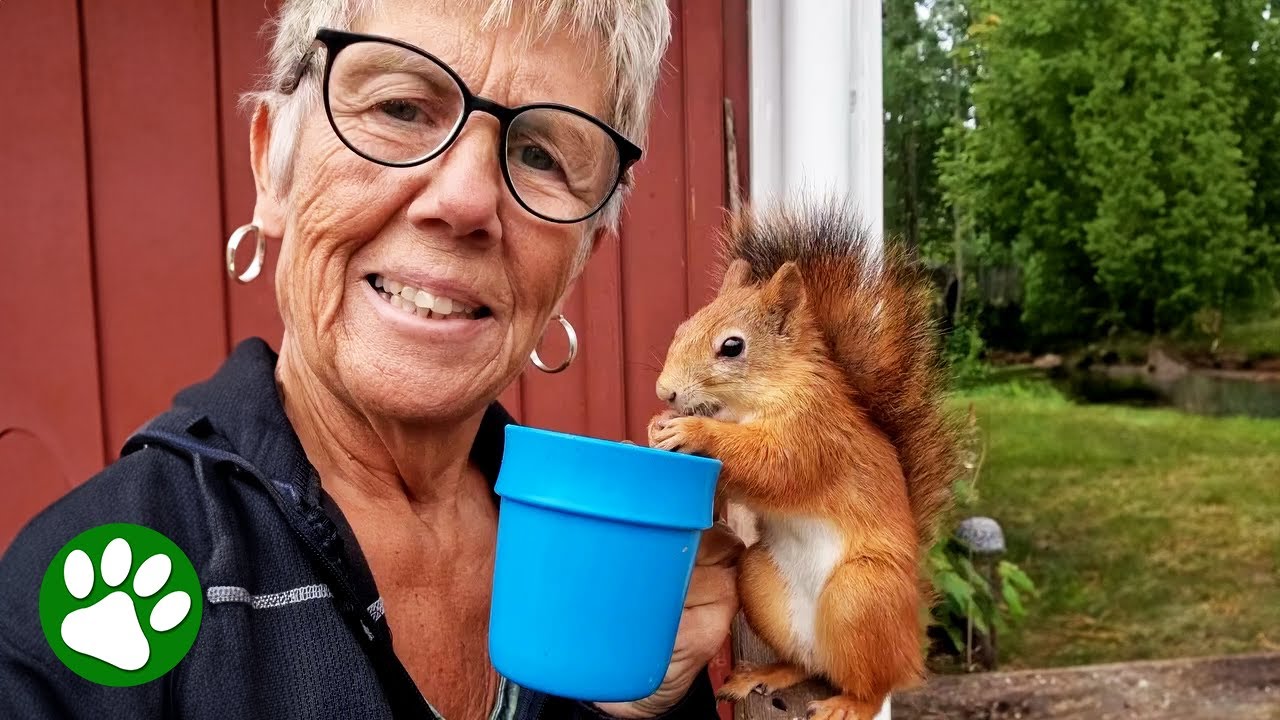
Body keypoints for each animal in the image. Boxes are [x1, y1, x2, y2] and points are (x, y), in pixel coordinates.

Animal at [650, 197, 962, 717]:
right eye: (683, 327)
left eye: (732, 346)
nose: (665, 392)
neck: (757, 399)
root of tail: (910, 642)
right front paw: (657, 426)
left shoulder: (813, 434)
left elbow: (772, 467)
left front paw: (694, 431)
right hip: (761, 581)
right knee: (808, 664)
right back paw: (769, 674)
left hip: (861, 594)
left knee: (874, 686)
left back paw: (848, 704)